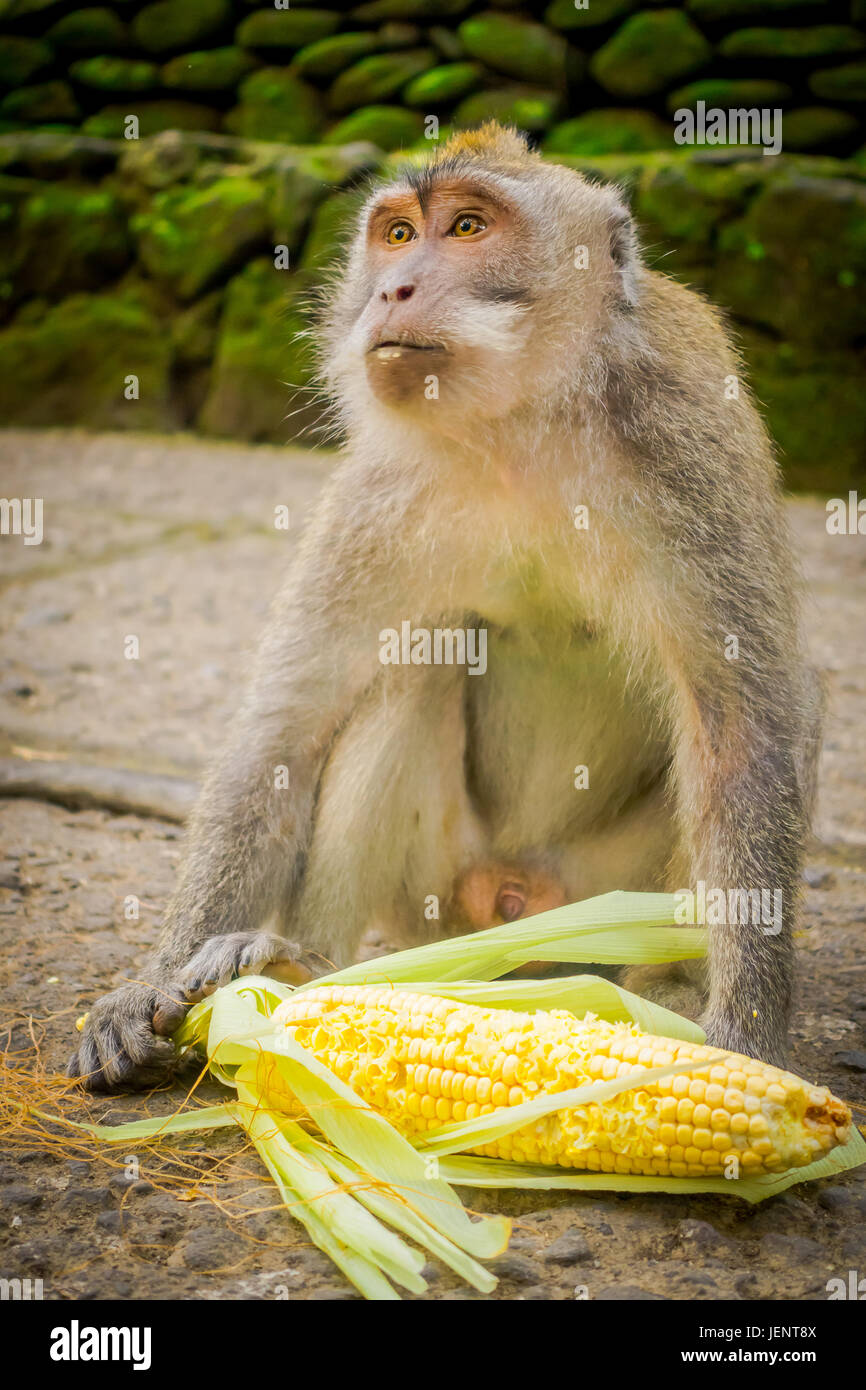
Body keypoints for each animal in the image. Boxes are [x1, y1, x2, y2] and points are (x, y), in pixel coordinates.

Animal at [67, 122, 817, 1095]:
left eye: (467, 227)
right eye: (395, 235)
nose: (393, 289)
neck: (518, 425)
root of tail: (516, 909)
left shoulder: (690, 446)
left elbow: (743, 727)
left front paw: (744, 1035)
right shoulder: (376, 496)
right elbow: (283, 734)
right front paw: (147, 986)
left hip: (601, 900)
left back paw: (669, 993)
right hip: (438, 908)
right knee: (407, 675)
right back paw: (298, 972)